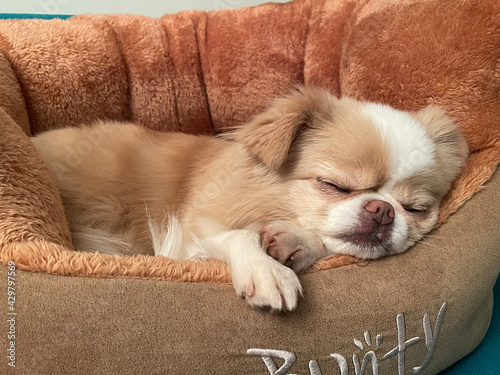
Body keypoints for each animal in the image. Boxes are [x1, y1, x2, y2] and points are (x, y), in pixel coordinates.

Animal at [32, 87, 468, 312]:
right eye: (335, 185)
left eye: (416, 209)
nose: (382, 210)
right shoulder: (191, 233)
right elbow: (238, 236)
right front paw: (267, 270)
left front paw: (292, 241)